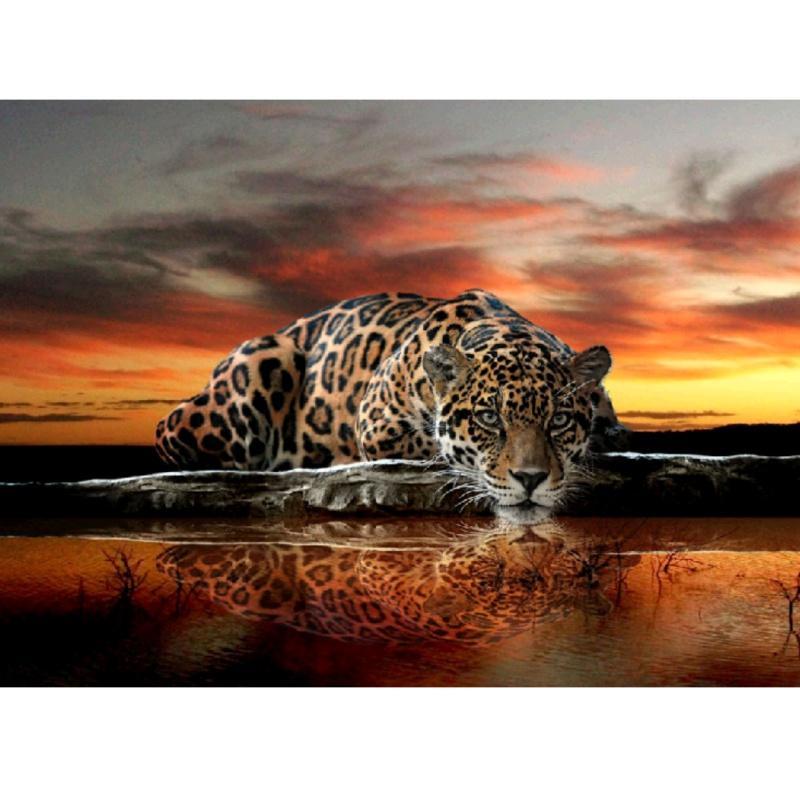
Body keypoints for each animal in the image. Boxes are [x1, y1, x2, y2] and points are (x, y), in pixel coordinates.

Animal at [155, 289, 623, 515]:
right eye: (489, 418)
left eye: (559, 420)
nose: (531, 479)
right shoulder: (377, 422)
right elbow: (432, 444)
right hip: (262, 363)